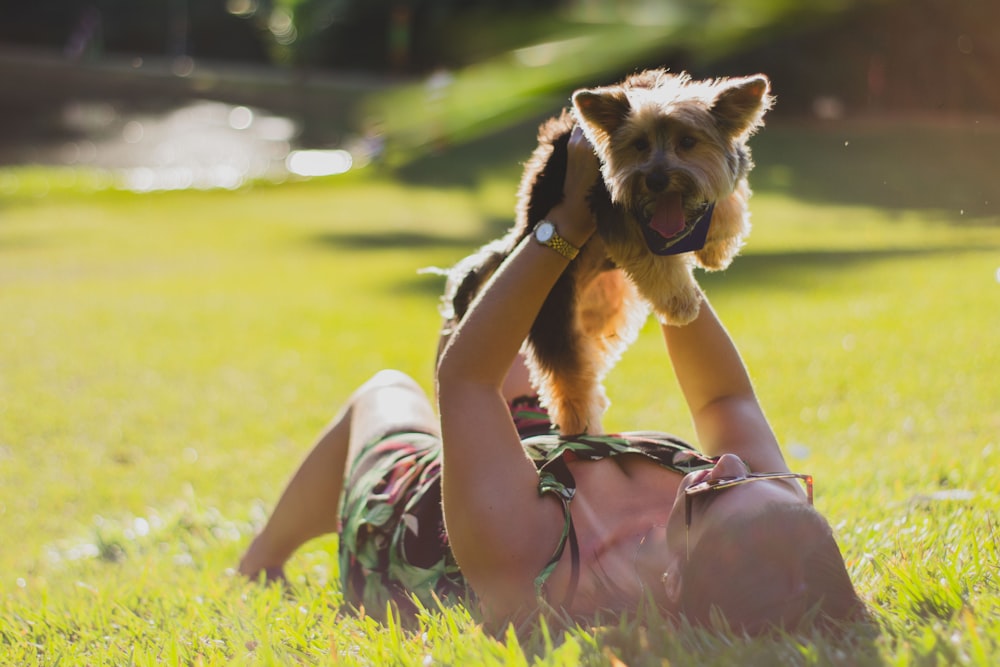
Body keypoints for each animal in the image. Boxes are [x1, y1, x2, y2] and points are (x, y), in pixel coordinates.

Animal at [440, 68, 772, 434]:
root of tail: (521, 235)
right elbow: (653, 259)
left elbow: (729, 202)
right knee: (569, 374)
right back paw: (581, 427)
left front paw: (715, 249)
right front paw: (681, 303)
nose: (655, 180)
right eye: (639, 144)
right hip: (552, 305)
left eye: (687, 142)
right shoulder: (611, 208)